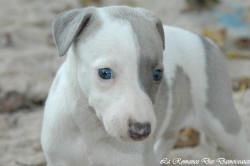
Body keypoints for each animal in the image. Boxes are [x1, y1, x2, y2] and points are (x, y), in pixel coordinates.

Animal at [41, 5, 250, 165]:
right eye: (105, 73)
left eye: (157, 74)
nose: (141, 131)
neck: (90, 128)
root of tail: (206, 40)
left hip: (224, 124)